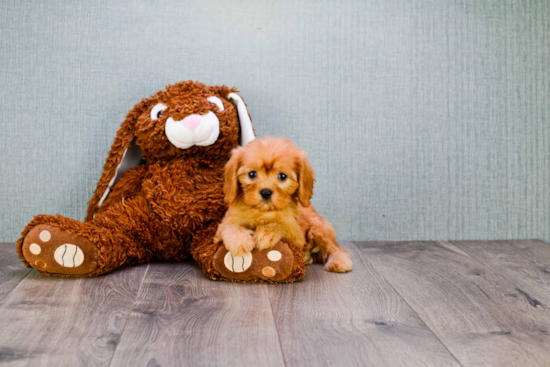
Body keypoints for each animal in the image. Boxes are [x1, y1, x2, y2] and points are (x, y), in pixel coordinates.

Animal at [216, 137, 354, 274]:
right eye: (252, 174)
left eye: (282, 176)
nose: (265, 192)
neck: (263, 211)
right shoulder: (222, 227)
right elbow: (230, 226)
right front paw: (239, 241)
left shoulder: (296, 235)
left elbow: (281, 226)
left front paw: (266, 234)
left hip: (320, 228)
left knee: (336, 248)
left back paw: (339, 261)